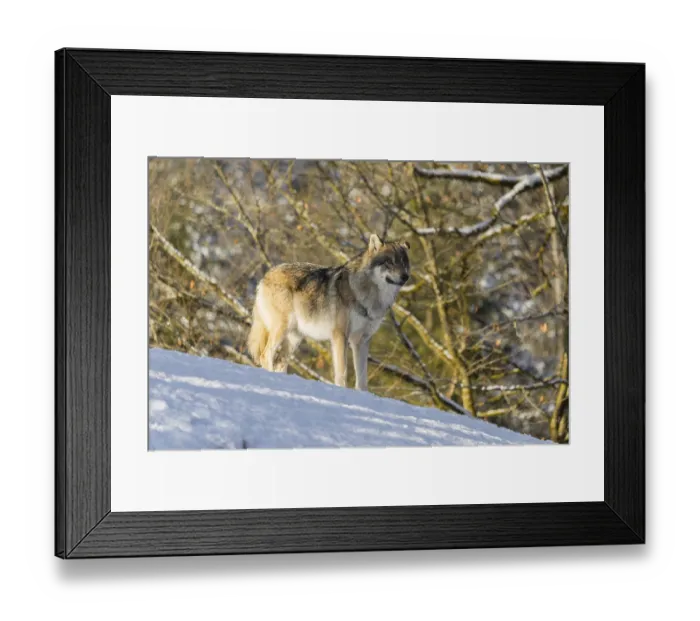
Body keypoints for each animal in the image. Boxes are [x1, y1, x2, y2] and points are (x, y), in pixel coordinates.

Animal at [247, 234, 410, 390]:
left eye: (404, 262)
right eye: (389, 262)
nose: (405, 276)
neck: (369, 295)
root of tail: (266, 275)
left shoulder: (362, 340)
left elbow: (362, 380)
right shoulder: (340, 335)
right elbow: (342, 372)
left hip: (295, 337)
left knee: (280, 361)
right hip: (282, 329)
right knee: (265, 355)